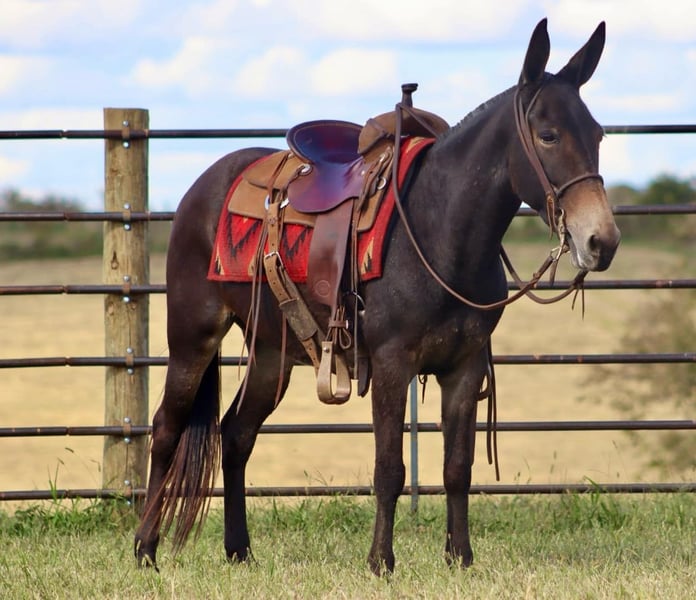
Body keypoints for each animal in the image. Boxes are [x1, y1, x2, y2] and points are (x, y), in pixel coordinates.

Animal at [134, 18, 620, 575]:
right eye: (548, 135)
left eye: (598, 134)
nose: (601, 241)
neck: (438, 228)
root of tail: (202, 186)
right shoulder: (391, 363)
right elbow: (389, 467)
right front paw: (381, 562)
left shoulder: (465, 367)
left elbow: (457, 467)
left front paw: (460, 558)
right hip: (192, 335)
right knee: (167, 428)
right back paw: (145, 548)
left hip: (272, 353)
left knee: (236, 435)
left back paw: (239, 550)